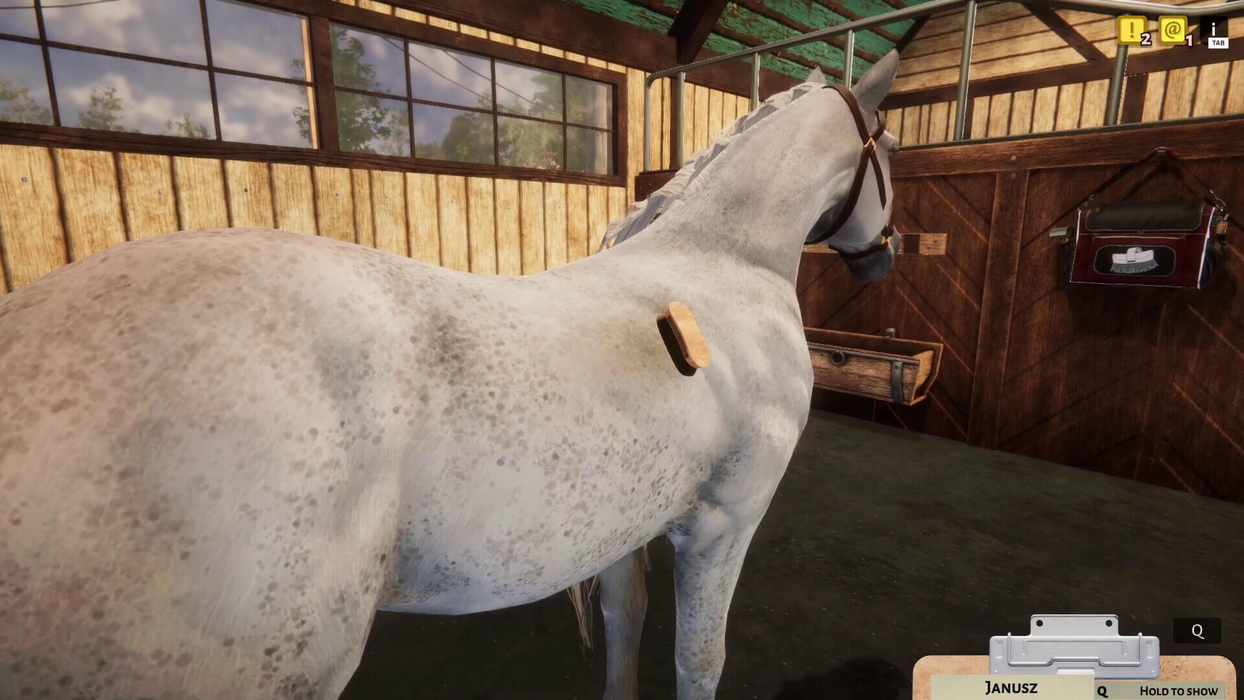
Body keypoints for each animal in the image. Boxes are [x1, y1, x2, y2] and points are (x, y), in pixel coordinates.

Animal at [0, 51, 902, 700]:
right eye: (891, 150)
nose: (886, 256)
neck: (721, 264)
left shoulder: (626, 528)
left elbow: (622, 626)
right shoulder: (722, 523)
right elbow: (698, 661)